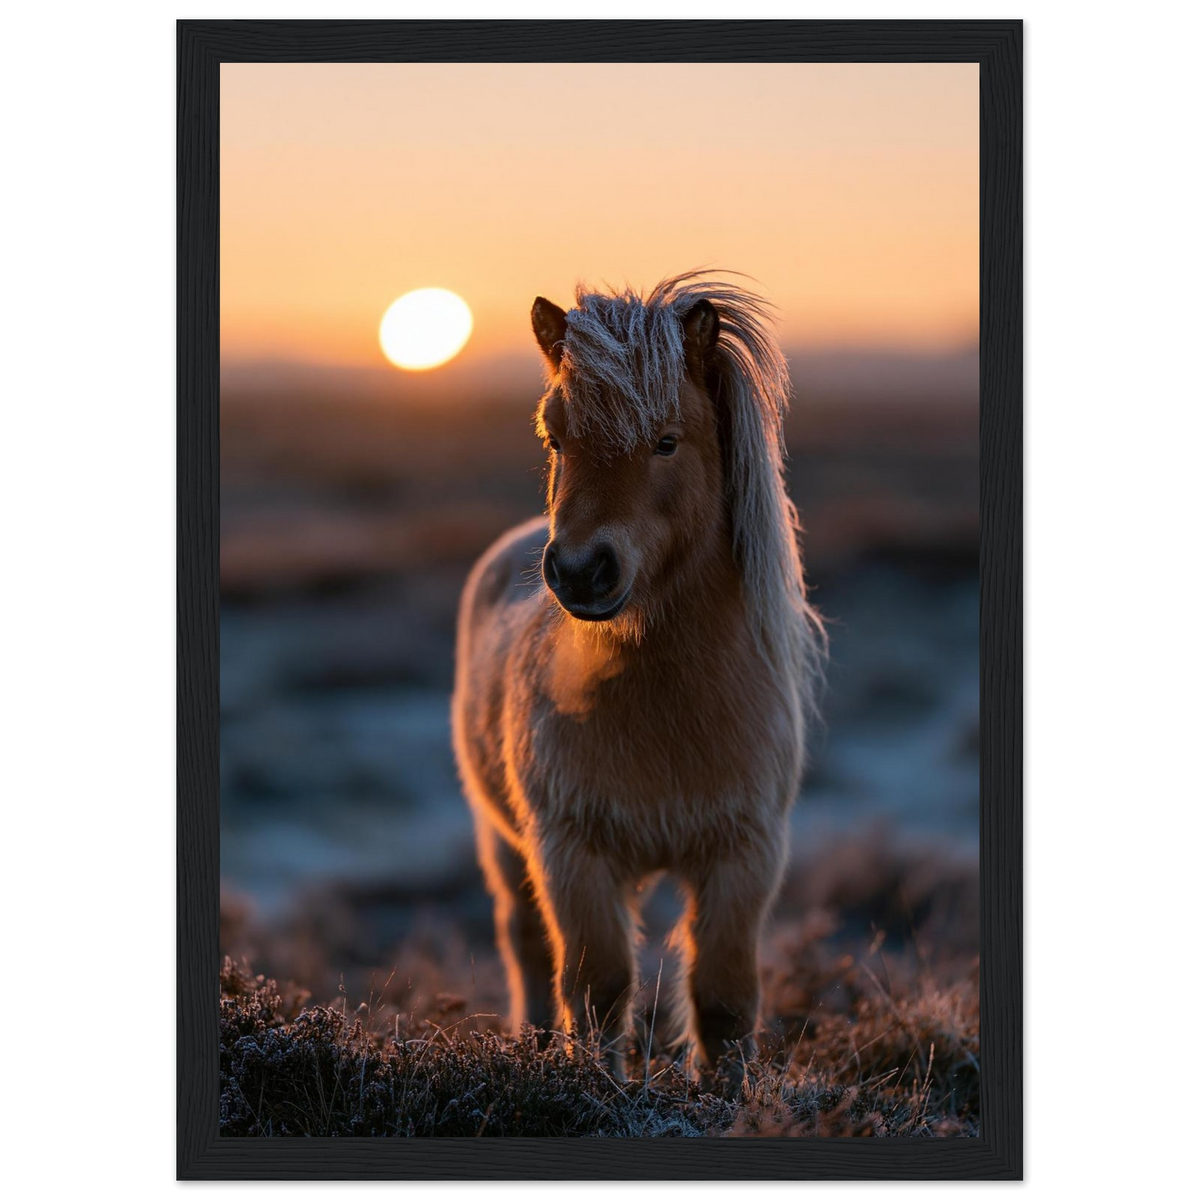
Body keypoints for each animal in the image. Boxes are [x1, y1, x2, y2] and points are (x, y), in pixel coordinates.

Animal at [451, 272, 824, 1085]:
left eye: (667, 440)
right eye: (554, 437)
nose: (580, 570)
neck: (665, 711)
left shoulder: (745, 855)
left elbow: (723, 998)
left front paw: (729, 1096)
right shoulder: (571, 853)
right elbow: (597, 988)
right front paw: (597, 1089)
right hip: (504, 843)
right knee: (526, 947)